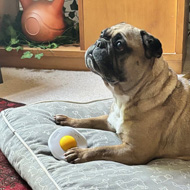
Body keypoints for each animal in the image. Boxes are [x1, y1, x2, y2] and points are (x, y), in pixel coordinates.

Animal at [55, 22, 190, 165]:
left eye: (119, 45)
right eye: (101, 34)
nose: (99, 42)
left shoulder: (133, 151)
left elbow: (103, 149)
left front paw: (81, 152)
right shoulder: (109, 120)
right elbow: (90, 119)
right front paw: (68, 120)